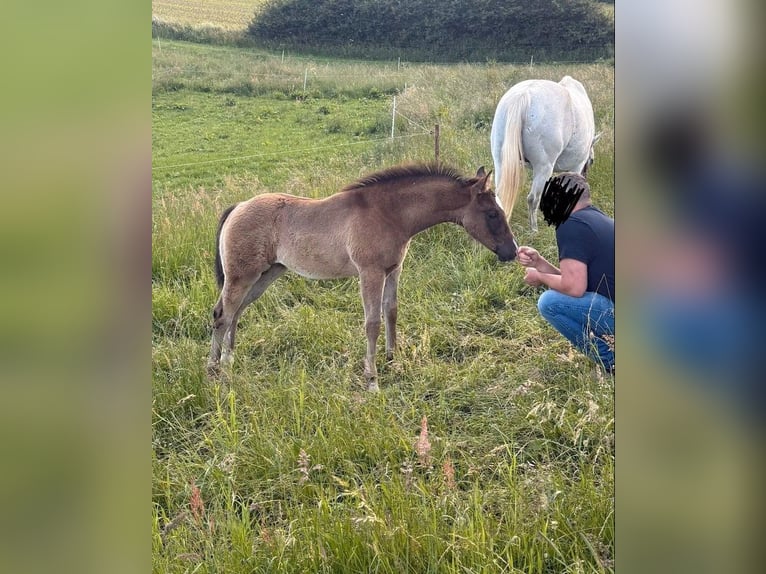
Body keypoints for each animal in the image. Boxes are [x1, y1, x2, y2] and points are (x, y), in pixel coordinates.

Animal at [207, 163, 518, 391]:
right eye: (492, 213)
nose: (512, 251)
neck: (388, 212)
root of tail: (238, 206)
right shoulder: (370, 273)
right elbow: (372, 323)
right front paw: (372, 381)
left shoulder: (394, 270)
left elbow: (391, 311)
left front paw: (393, 360)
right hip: (242, 276)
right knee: (222, 314)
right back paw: (214, 370)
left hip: (265, 275)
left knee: (236, 313)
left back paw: (229, 359)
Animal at [490, 76, 600, 232]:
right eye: (591, 161)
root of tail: (523, 96)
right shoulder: (576, 166)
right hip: (544, 167)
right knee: (533, 199)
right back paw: (534, 230)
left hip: (500, 161)